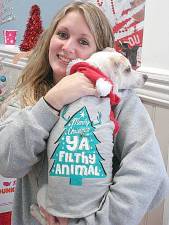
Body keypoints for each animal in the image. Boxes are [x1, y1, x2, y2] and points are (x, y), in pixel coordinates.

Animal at [31, 47, 147, 223]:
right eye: (127, 69)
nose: (146, 77)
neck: (94, 72)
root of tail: (71, 217)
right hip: (41, 192)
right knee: (43, 216)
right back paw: (32, 209)